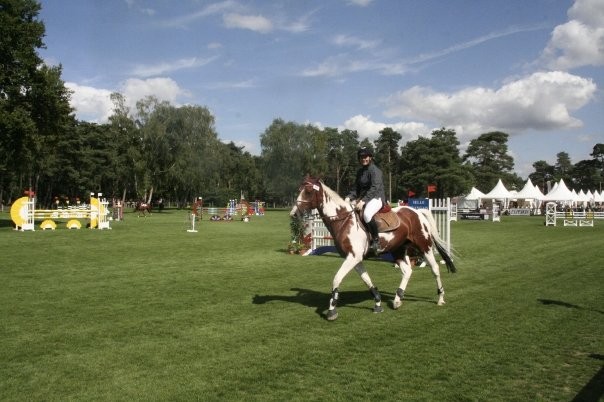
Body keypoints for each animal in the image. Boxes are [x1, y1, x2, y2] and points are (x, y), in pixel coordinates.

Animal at [290, 177, 456, 322]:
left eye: (308, 191)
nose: (293, 214)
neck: (344, 221)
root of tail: (417, 212)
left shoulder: (353, 257)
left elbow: (337, 278)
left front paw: (332, 310)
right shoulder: (355, 259)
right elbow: (367, 280)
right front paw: (377, 303)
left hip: (424, 247)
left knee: (434, 269)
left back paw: (440, 298)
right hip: (397, 250)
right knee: (407, 271)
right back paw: (397, 299)